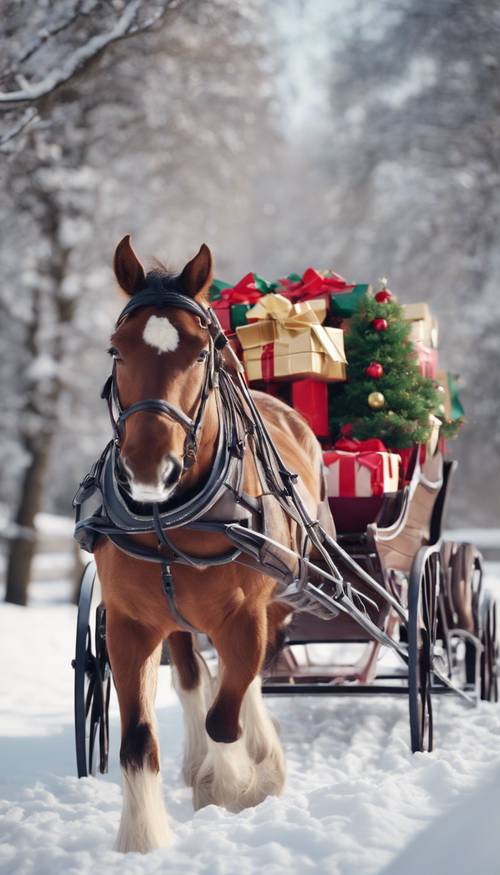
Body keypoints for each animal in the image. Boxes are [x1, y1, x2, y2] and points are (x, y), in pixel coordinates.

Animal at [94, 236, 328, 852]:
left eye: (201, 354)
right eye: (116, 351)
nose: (149, 467)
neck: (170, 517)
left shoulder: (245, 615)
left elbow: (226, 714)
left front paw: (237, 786)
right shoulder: (128, 623)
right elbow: (137, 740)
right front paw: (142, 840)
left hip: (278, 597)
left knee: (244, 682)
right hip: (178, 617)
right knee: (197, 675)